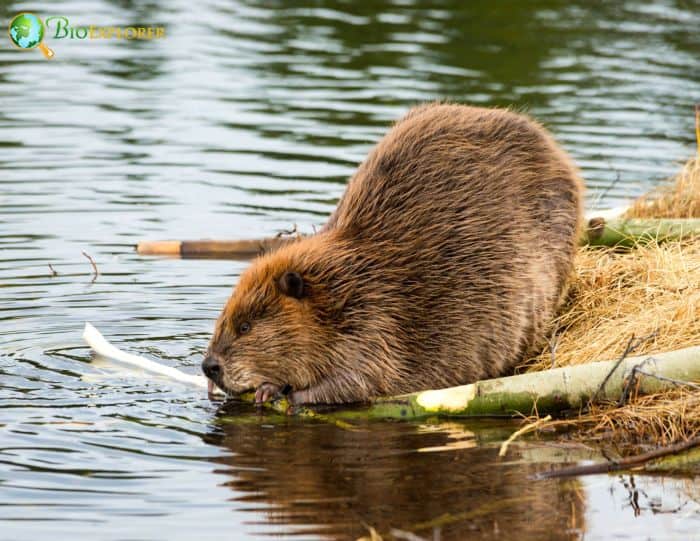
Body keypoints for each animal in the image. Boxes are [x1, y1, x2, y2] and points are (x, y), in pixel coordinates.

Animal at [204, 103, 584, 402]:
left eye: (245, 326)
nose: (209, 367)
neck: (342, 285)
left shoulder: (376, 320)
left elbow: (359, 380)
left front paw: (281, 393)